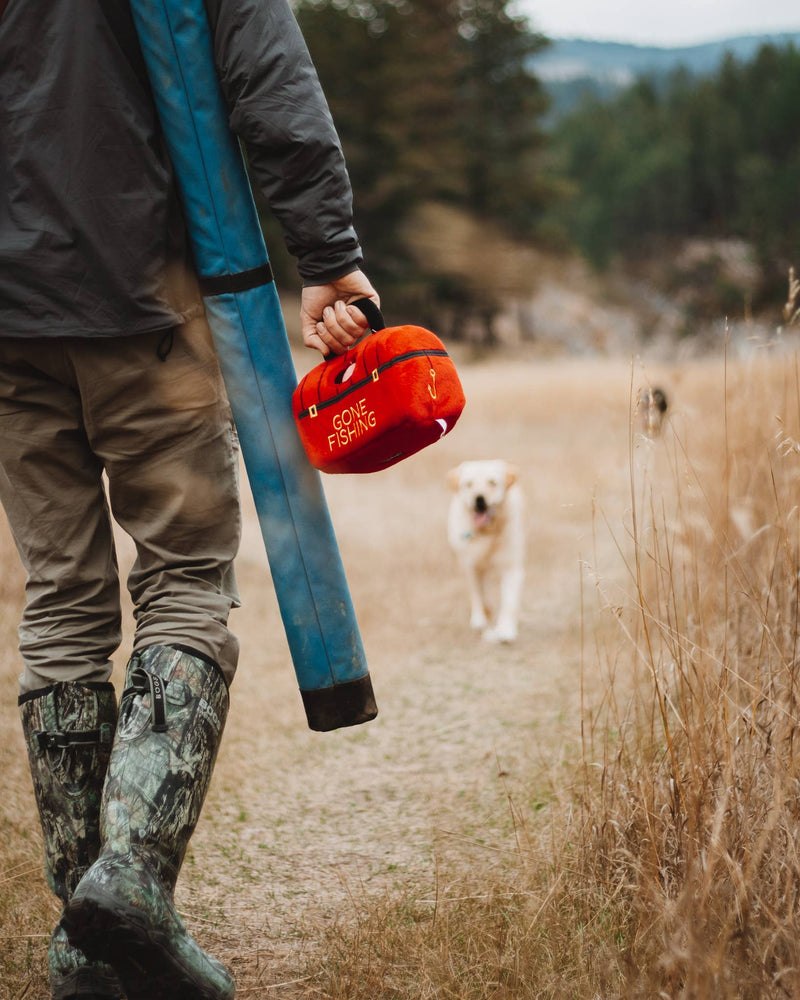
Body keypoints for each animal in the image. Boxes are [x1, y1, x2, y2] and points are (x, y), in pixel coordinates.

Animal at [444, 458, 524, 644]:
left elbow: (509, 601)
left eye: (492, 482)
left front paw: (506, 630)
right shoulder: (471, 566)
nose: (479, 499)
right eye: (469, 484)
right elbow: (478, 593)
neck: (487, 533)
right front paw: (481, 618)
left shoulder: (510, 566)